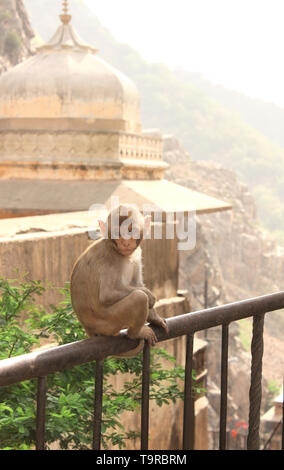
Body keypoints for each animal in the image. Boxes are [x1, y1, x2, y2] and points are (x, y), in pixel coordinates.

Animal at [70, 203, 169, 356]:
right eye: (118, 233)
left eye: (131, 231)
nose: (126, 243)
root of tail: (88, 328)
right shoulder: (109, 258)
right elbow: (108, 294)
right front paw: (151, 297)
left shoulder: (137, 253)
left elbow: (137, 283)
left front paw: (155, 318)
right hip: (107, 322)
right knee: (139, 298)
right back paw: (135, 333)